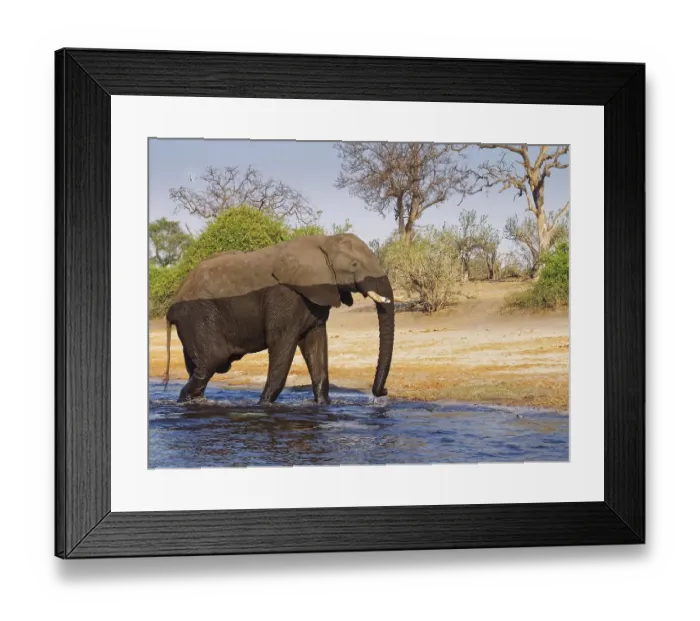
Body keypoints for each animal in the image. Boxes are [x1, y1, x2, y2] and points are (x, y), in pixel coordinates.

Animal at [161, 233, 394, 405]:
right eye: (355, 265)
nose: (382, 392)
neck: (324, 243)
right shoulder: (285, 297)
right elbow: (282, 345)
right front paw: (263, 406)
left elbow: (316, 346)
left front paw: (323, 404)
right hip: (197, 315)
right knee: (214, 359)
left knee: (199, 366)